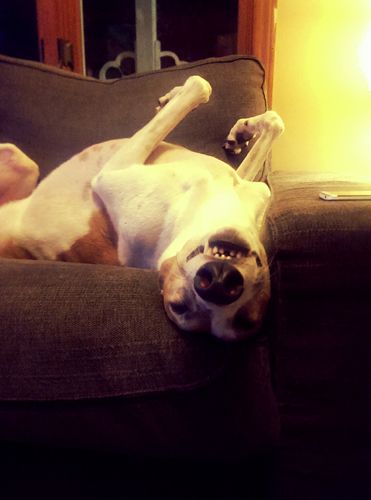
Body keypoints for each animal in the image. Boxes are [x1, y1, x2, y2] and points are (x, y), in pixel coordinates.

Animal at [0, 76, 284, 342]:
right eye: (179, 306)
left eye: (245, 320)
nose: (218, 283)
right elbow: (272, 121)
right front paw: (241, 131)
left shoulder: (112, 172)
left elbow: (200, 86)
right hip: (23, 162)